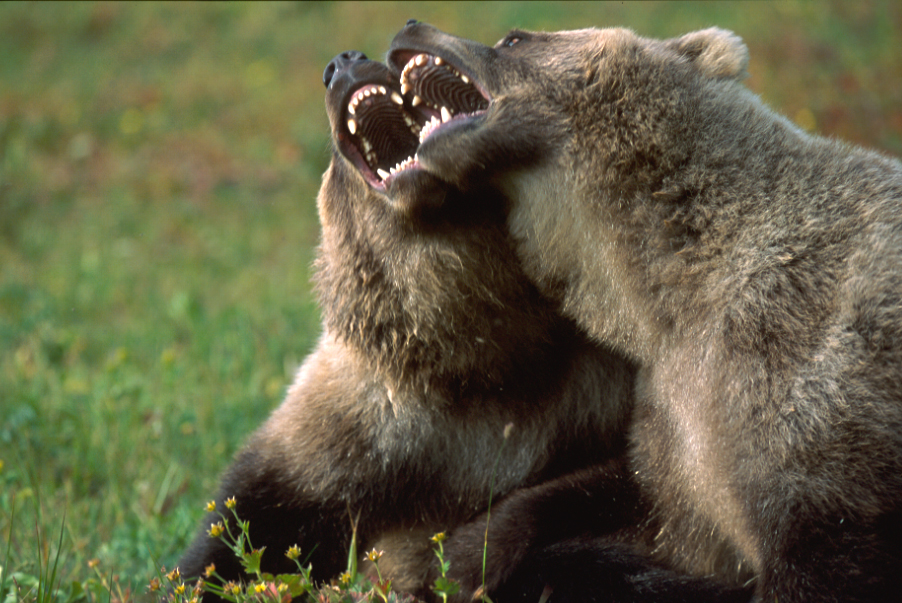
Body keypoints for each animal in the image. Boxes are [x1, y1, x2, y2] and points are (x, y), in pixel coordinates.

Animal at [384, 22, 902, 603]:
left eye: (515, 39)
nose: (411, 26)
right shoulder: (676, 416)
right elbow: (632, 495)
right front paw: (463, 557)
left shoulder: (808, 389)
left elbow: (818, 556)